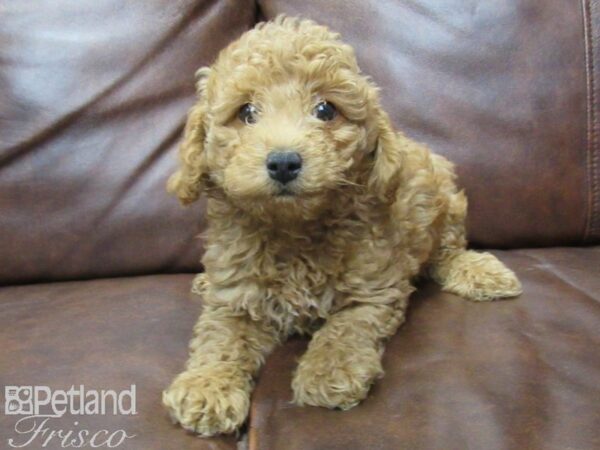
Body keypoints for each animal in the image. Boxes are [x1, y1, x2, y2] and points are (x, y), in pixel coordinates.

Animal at [161, 17, 520, 436]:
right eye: (246, 112)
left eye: (325, 110)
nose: (284, 162)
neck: (293, 229)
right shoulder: (235, 298)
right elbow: (220, 337)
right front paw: (206, 387)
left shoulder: (372, 290)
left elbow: (344, 330)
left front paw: (326, 373)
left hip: (442, 196)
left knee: (446, 252)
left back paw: (480, 271)